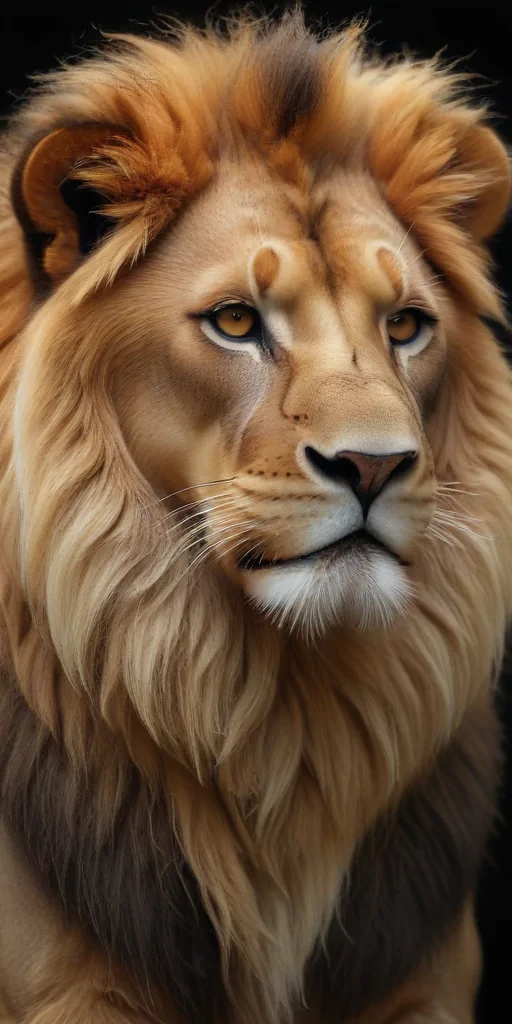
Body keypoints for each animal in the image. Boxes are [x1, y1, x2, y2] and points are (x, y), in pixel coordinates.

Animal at [0, 10, 510, 1024]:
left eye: (405, 325)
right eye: (236, 322)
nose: (374, 464)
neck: (282, 718)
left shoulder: (425, 983)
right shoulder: (65, 991)